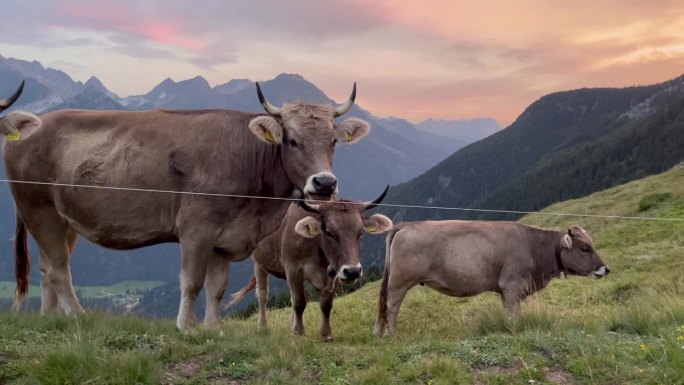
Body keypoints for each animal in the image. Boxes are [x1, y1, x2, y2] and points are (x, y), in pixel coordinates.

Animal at [1, 80, 374, 330]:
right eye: (292, 140)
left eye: (334, 141)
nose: (324, 183)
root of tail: (36, 122)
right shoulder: (197, 227)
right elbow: (192, 281)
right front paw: (186, 327)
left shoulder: (226, 237)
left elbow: (217, 288)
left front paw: (213, 329)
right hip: (39, 209)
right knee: (58, 268)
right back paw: (79, 316)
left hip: (65, 220)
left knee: (47, 267)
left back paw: (52, 318)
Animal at [227, 186, 392, 340]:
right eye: (329, 232)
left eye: (361, 232)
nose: (353, 271)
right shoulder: (293, 270)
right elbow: (299, 302)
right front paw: (299, 332)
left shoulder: (334, 273)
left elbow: (326, 305)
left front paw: (325, 334)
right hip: (259, 262)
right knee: (262, 294)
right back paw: (263, 327)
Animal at [376, 220, 612, 334]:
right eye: (584, 248)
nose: (606, 269)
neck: (534, 247)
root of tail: (406, 225)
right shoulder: (513, 286)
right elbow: (514, 314)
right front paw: (514, 330)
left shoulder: (506, 291)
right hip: (399, 283)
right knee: (391, 308)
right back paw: (392, 336)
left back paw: (379, 335)